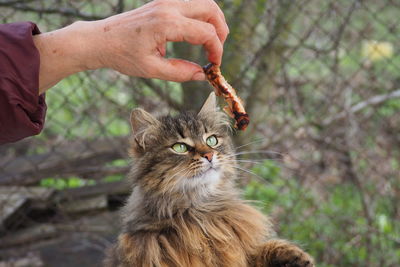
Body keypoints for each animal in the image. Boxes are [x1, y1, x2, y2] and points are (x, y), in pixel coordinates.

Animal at [104, 93, 312, 266]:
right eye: (180, 147)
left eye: (212, 140)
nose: (210, 155)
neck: (202, 215)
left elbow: (264, 249)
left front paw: (295, 256)